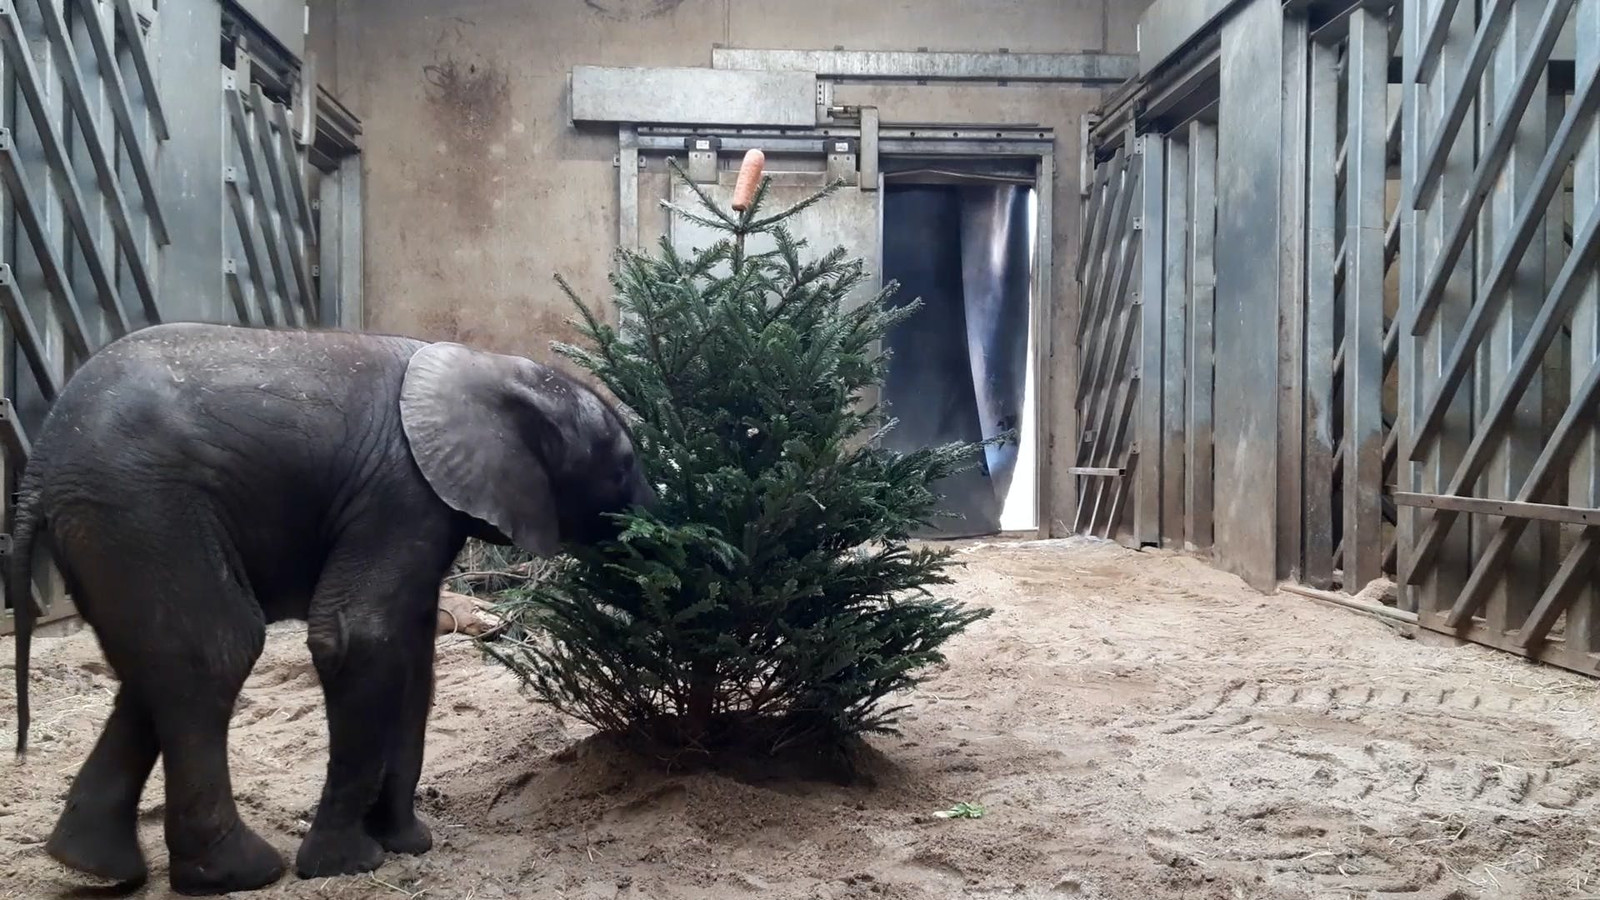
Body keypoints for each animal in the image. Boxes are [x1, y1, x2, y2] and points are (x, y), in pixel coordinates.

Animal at [12, 320, 649, 890]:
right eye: (621, 467)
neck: (493, 366)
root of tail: (37, 465)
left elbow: (411, 650)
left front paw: (406, 844)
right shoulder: (401, 491)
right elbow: (359, 637)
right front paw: (348, 864)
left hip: (110, 525)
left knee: (155, 666)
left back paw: (91, 866)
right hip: (142, 508)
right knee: (216, 651)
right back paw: (240, 873)